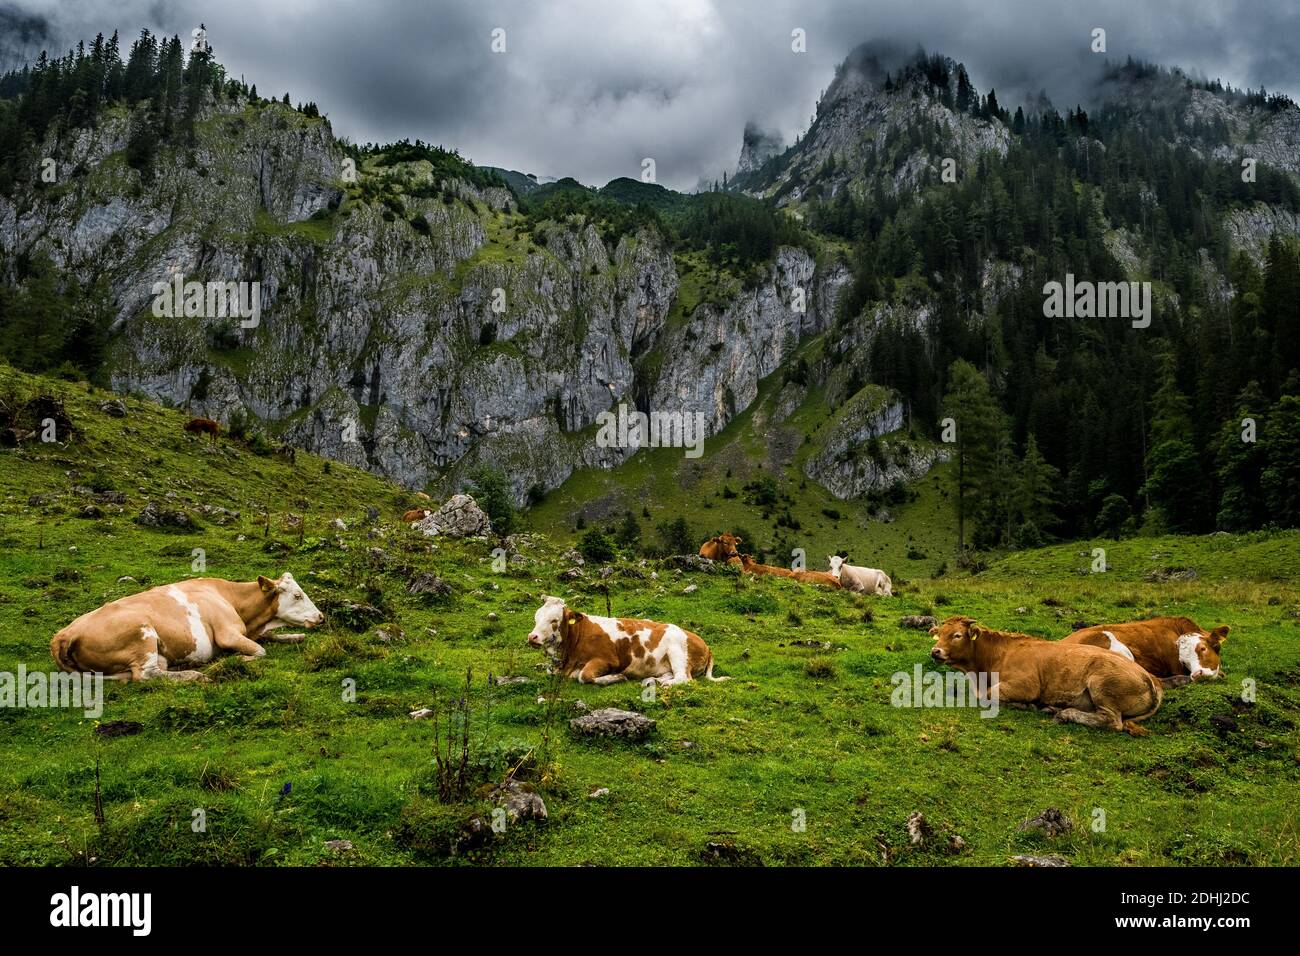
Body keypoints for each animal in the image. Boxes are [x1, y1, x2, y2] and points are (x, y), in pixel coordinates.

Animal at [50, 574, 325, 681]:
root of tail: (64, 633)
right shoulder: (228, 634)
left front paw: (294, 635)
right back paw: (195, 674)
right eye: (298, 595)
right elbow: (260, 651)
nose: (321, 616)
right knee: (148, 674)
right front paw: (230, 660)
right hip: (142, 634)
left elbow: (275, 638)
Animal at [525, 595, 728, 686]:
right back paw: (654, 680)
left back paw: (663, 683)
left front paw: (616, 677)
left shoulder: (606, 660)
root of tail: (706, 644)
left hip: (678, 652)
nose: (532, 637)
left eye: (554, 620)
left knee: (684, 678)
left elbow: (585, 676)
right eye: (536, 617)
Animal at [930, 616, 1164, 738]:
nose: (935, 651)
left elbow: (991, 694)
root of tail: (1150, 678)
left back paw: (1065, 713)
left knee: (1112, 721)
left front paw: (1024, 705)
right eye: (938, 634)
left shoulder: (1026, 686)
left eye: (957, 635)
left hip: (1102, 685)